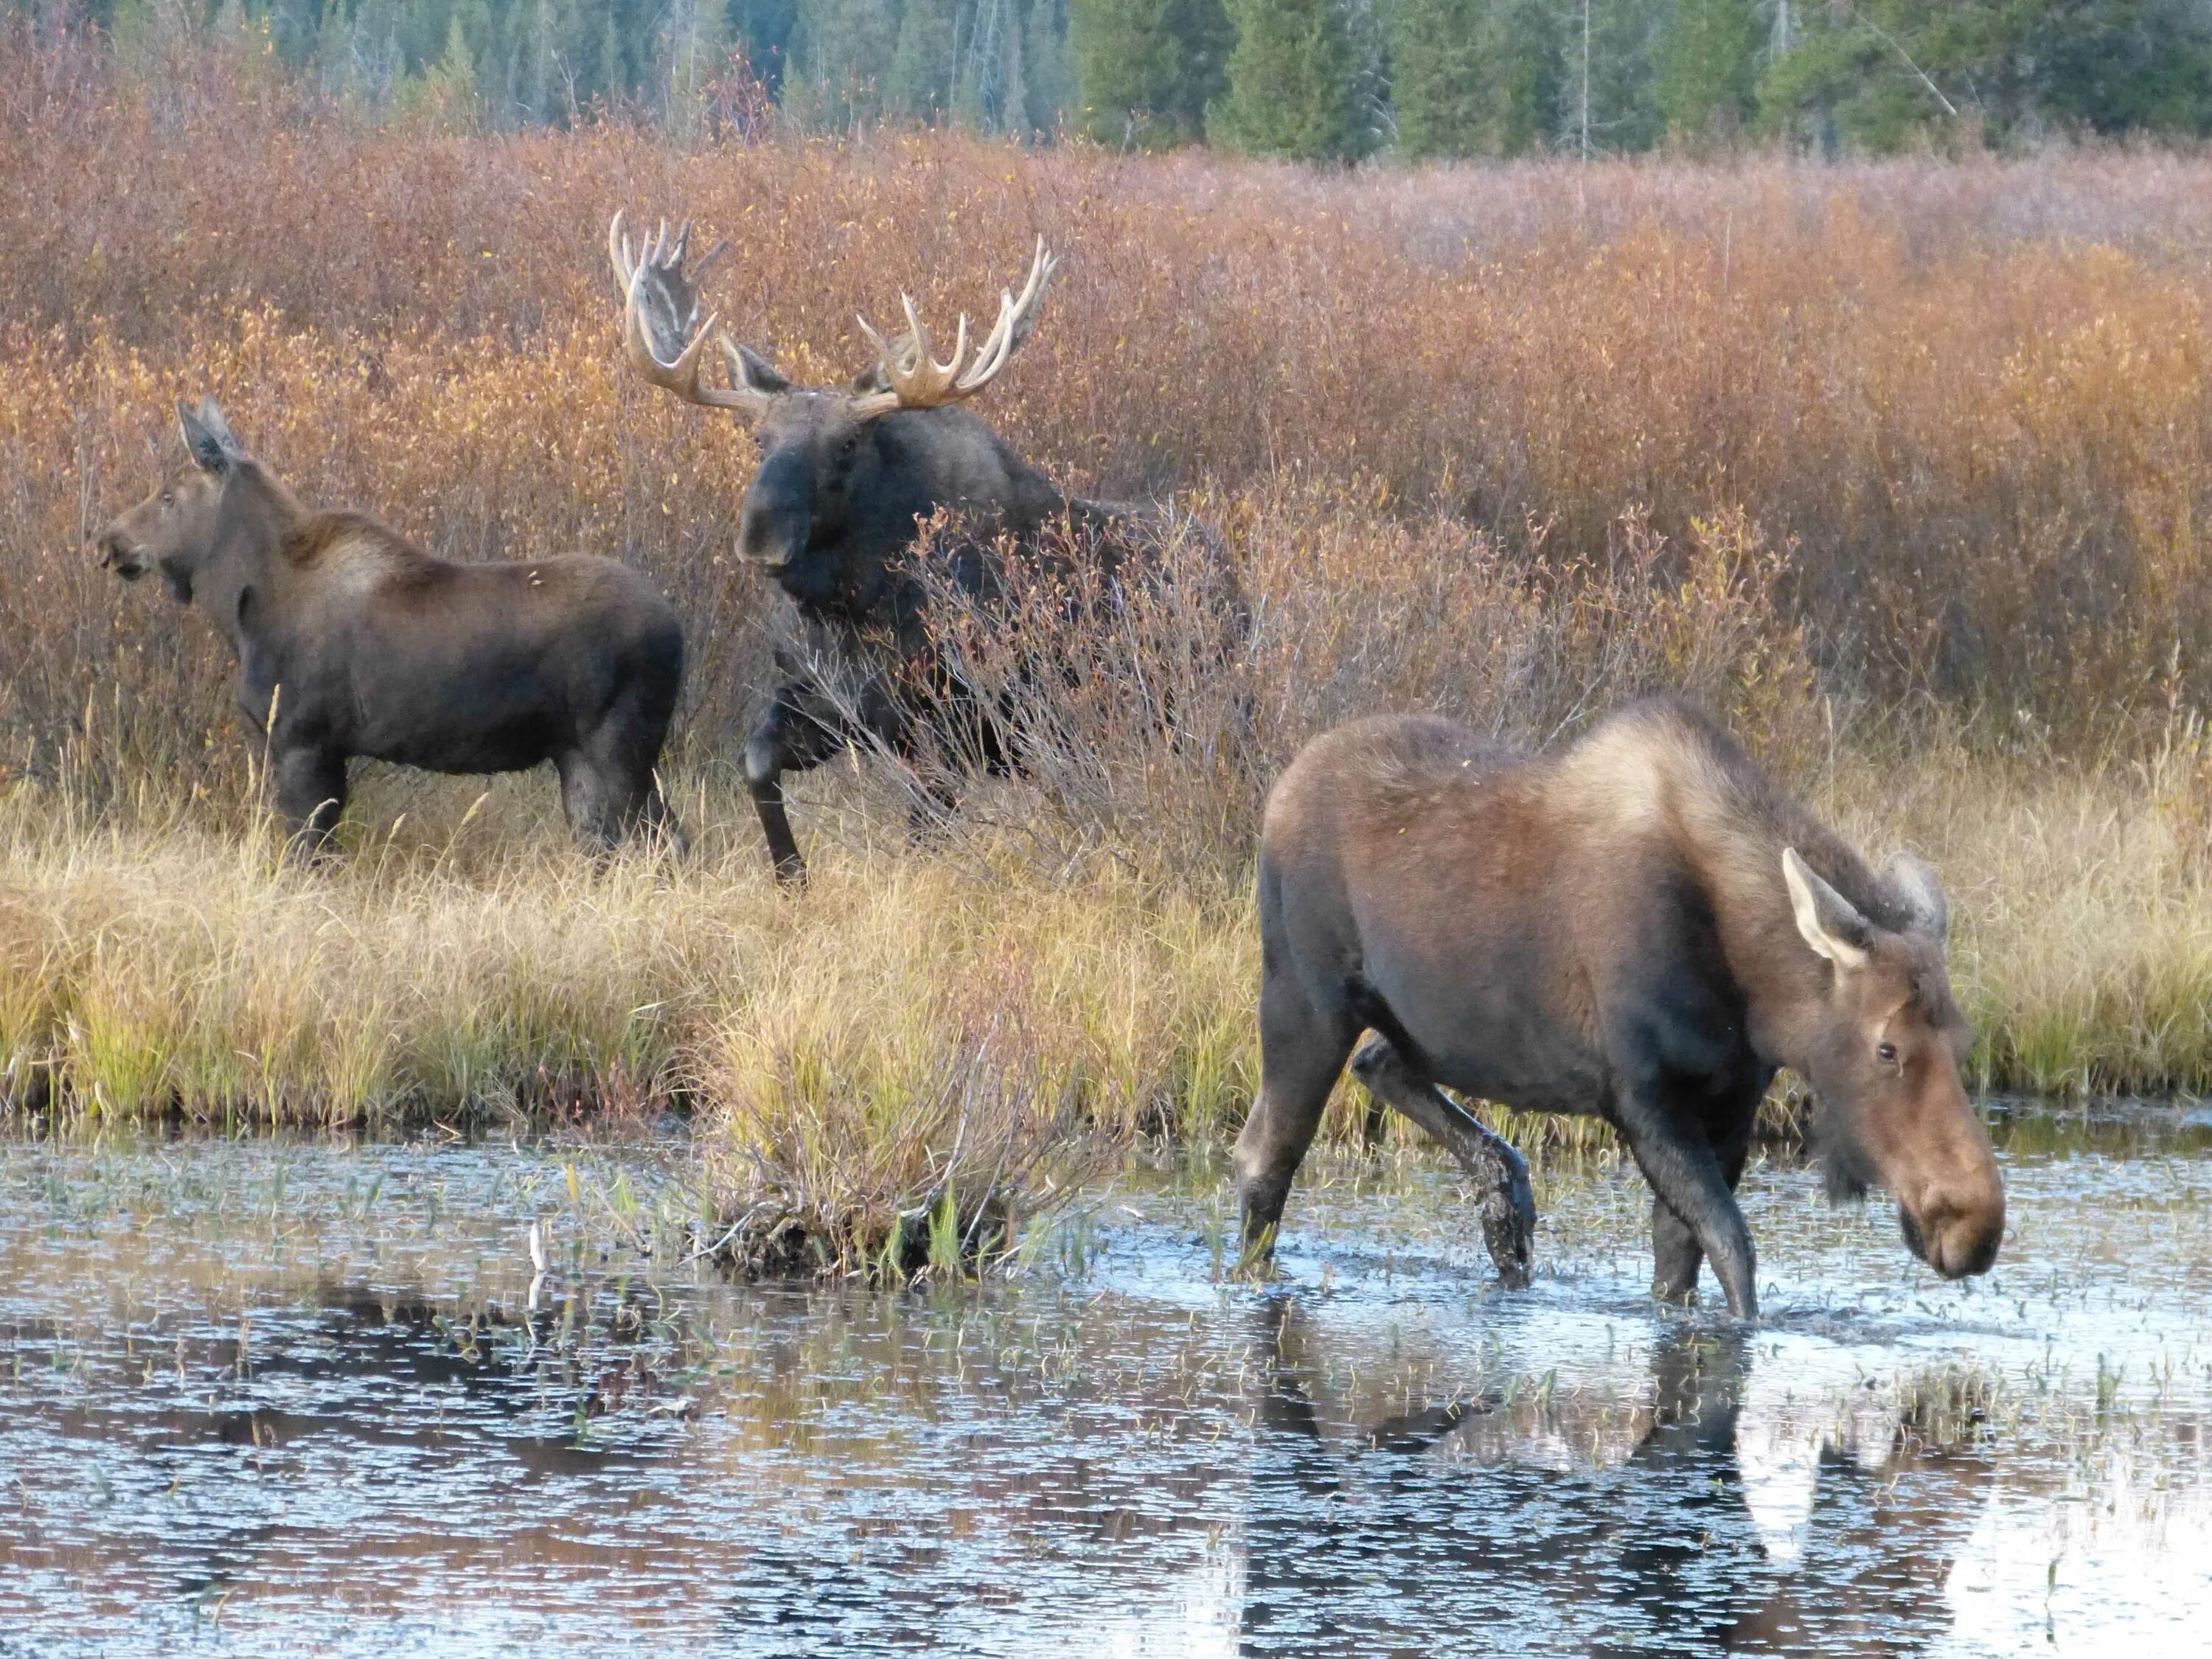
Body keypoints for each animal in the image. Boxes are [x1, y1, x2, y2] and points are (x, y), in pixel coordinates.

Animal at [100, 403, 681, 858]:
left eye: (168, 496)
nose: (109, 541)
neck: (241, 609)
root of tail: (681, 629)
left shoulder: (303, 741)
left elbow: (307, 852)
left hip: (623, 747)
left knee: (666, 842)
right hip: (578, 755)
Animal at [606, 215, 1230, 889]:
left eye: (848, 444)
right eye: (758, 439)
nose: (761, 537)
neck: (849, 608)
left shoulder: (947, 730)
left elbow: (923, 836)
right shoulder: (825, 706)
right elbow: (756, 764)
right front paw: (792, 875)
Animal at [1248, 703, 2008, 1327]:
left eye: (1964, 1042)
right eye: (1887, 1048)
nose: (1975, 1224)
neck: (1751, 991)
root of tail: (1280, 788)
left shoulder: (1729, 1106)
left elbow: (1680, 1260)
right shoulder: (1641, 1098)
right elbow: (1734, 1249)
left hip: (1427, 1028)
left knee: (1379, 1062)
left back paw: (1505, 1205)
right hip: (1304, 1002)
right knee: (1266, 1153)